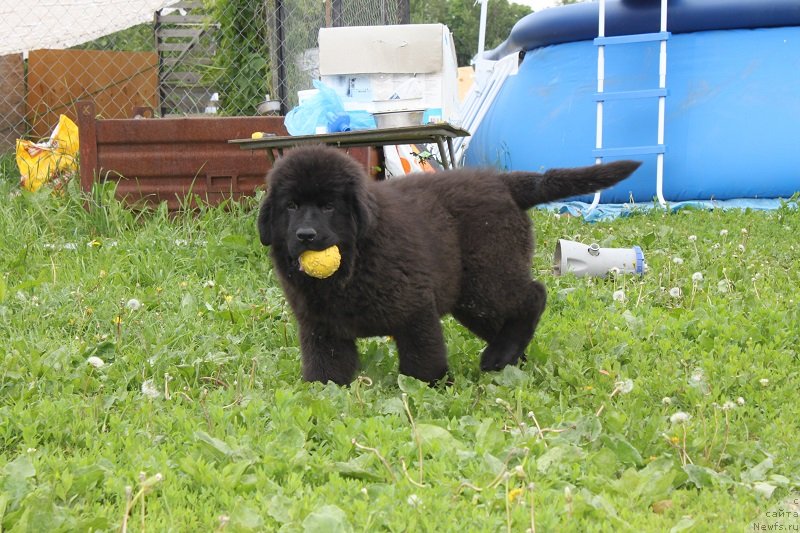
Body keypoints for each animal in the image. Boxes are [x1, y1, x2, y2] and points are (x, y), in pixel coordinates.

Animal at [260, 145, 640, 384]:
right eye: (291, 206)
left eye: (328, 206)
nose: (306, 235)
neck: (353, 262)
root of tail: (501, 182)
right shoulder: (321, 328)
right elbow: (326, 370)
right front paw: (323, 395)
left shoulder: (414, 308)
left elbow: (422, 359)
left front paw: (430, 388)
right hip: (471, 299)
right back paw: (510, 359)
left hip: (487, 277)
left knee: (534, 294)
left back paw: (497, 357)